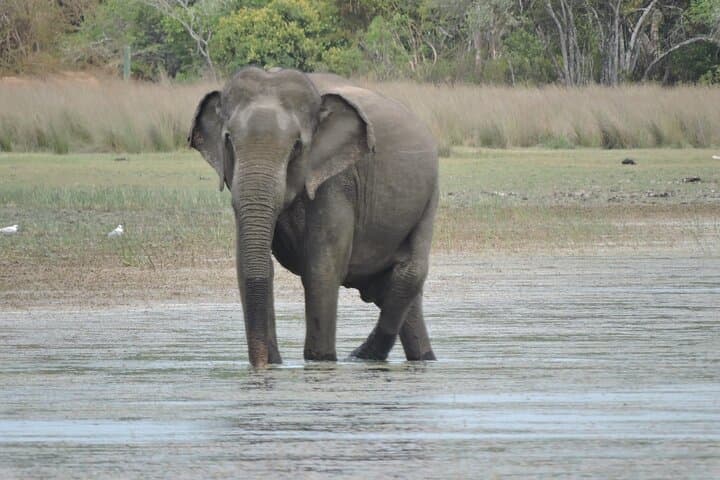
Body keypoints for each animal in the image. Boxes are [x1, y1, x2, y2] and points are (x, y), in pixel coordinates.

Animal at [189, 67, 438, 367]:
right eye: (228, 140)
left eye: (297, 146)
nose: (263, 364)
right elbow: (249, 265)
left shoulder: (336, 180)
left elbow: (322, 269)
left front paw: (320, 361)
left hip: (429, 195)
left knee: (409, 273)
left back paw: (362, 355)